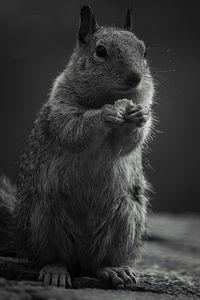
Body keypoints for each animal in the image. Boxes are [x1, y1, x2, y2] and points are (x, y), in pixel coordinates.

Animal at [0, 5, 155, 290]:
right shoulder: (61, 109)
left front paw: (138, 116)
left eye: (144, 52)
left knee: (96, 265)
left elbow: (127, 144)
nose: (135, 78)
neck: (106, 96)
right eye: (100, 51)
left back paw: (113, 270)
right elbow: (74, 130)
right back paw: (56, 270)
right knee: (54, 258)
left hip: (125, 217)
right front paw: (105, 114)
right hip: (44, 219)